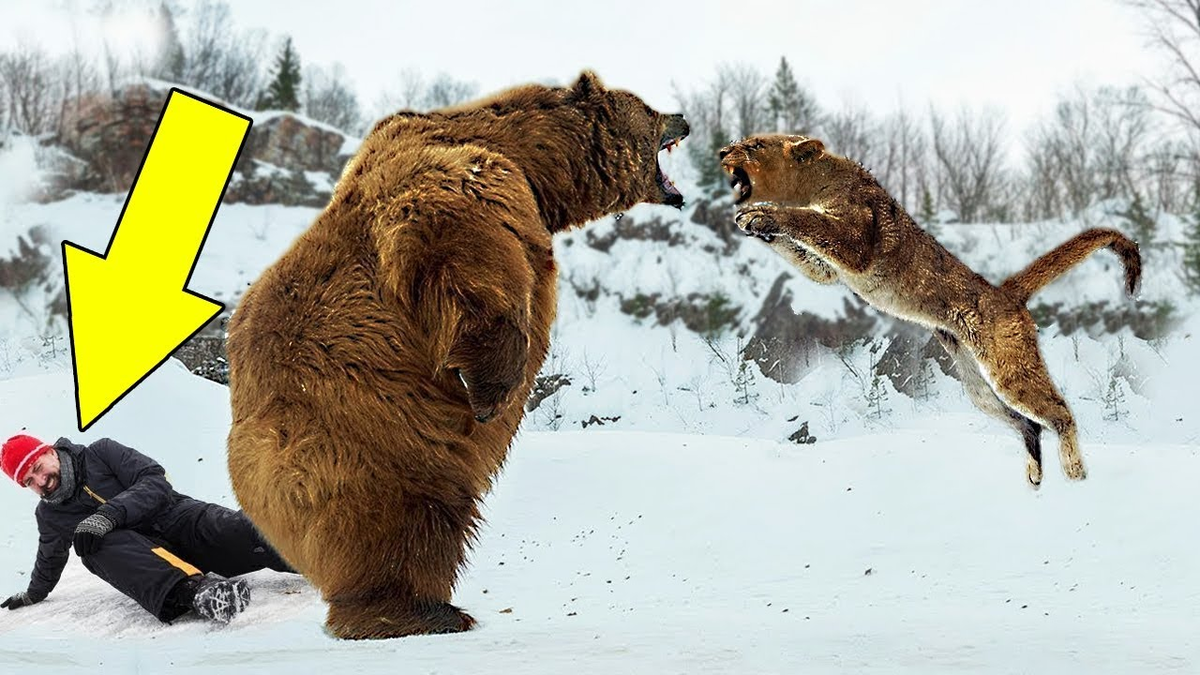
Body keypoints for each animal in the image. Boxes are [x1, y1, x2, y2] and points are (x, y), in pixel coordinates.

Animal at [224, 72, 691, 634]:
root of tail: (250, 467)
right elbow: (463, 252)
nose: (684, 117)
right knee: (406, 520)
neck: (535, 165)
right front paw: (493, 392)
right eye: (647, 107)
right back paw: (416, 611)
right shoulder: (466, 183)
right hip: (366, 428)